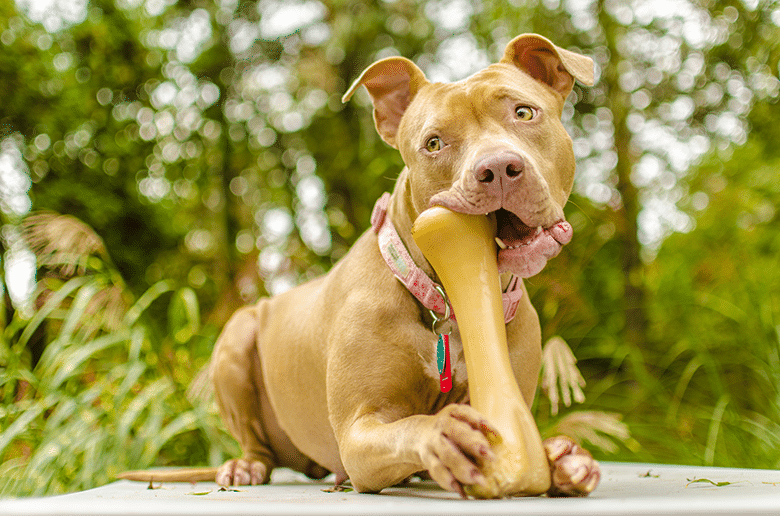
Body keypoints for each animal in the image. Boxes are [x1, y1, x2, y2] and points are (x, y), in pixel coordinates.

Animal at [125, 33, 600, 500]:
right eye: (434, 143)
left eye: (524, 112)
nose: (498, 167)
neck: (447, 300)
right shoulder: (359, 432)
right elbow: (410, 427)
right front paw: (444, 437)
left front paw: (563, 458)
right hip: (237, 340)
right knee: (256, 444)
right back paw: (246, 466)